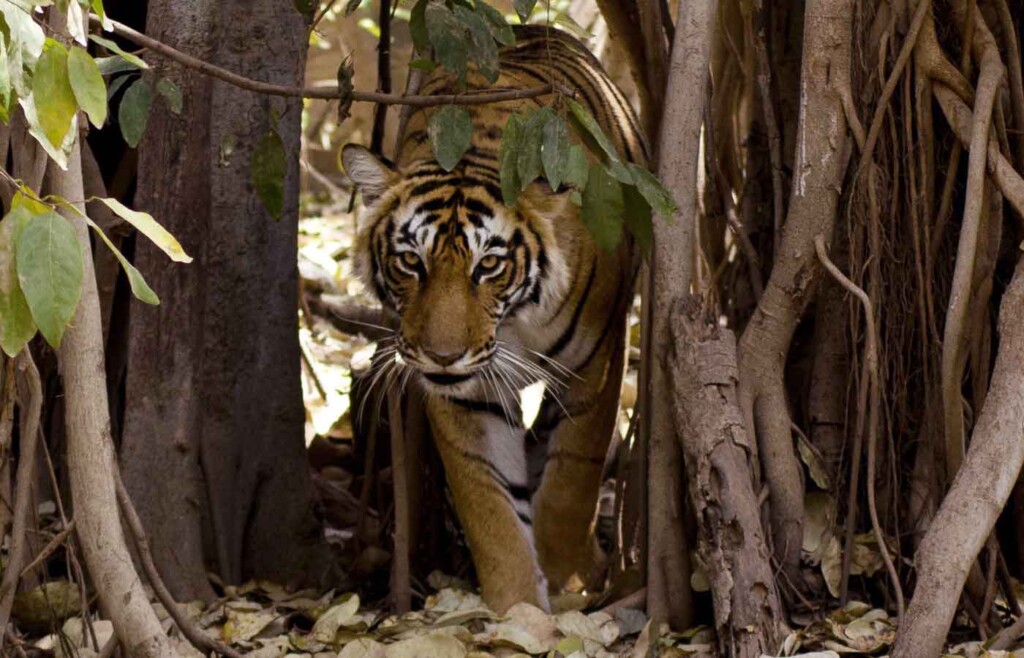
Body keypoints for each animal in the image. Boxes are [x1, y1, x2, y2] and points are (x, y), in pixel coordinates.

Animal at [344, 24, 647, 613]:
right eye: (411, 261)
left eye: (488, 266)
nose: (442, 356)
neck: (514, 327)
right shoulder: (467, 396)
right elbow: (489, 506)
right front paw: (519, 612)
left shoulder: (598, 365)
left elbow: (572, 481)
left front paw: (563, 585)